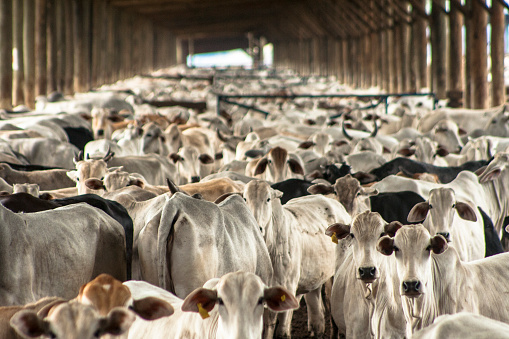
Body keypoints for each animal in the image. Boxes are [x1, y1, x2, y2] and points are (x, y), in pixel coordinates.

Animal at [242, 182, 350, 338]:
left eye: (268, 199)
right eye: (245, 198)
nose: (257, 227)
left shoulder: (288, 288)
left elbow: (280, 331)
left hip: (334, 276)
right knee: (317, 315)